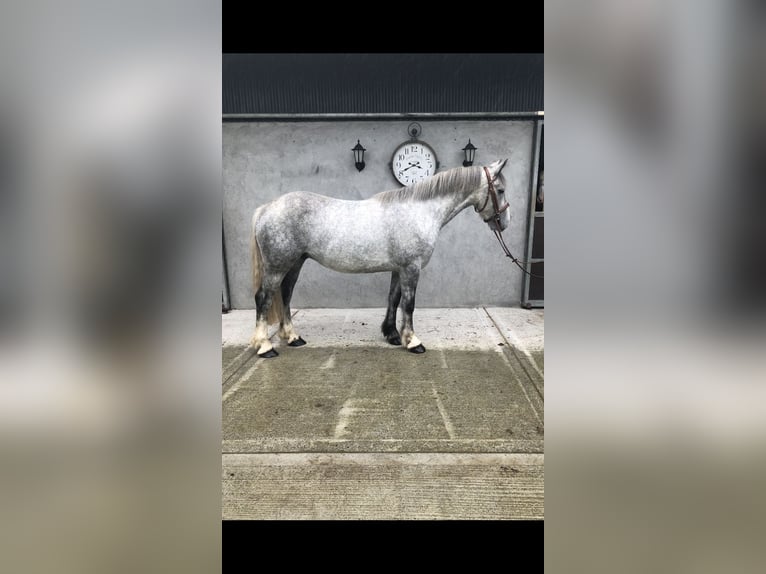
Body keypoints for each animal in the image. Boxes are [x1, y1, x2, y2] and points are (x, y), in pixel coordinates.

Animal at [249, 160, 510, 358]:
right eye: (500, 190)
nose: (504, 223)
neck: (419, 211)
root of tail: (266, 208)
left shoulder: (399, 269)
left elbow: (393, 299)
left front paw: (392, 335)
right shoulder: (411, 268)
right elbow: (409, 304)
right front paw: (413, 342)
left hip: (295, 263)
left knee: (285, 294)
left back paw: (293, 337)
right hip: (277, 266)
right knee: (263, 298)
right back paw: (265, 347)